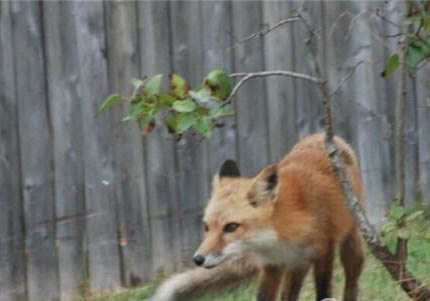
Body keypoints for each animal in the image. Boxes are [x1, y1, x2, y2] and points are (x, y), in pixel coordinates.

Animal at [147, 134, 362, 300]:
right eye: (206, 227)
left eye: (231, 227)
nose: (198, 259)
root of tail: (322, 135)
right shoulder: (272, 266)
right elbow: (265, 297)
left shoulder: (324, 252)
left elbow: (324, 293)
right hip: (296, 268)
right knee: (289, 294)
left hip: (349, 243)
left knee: (352, 281)